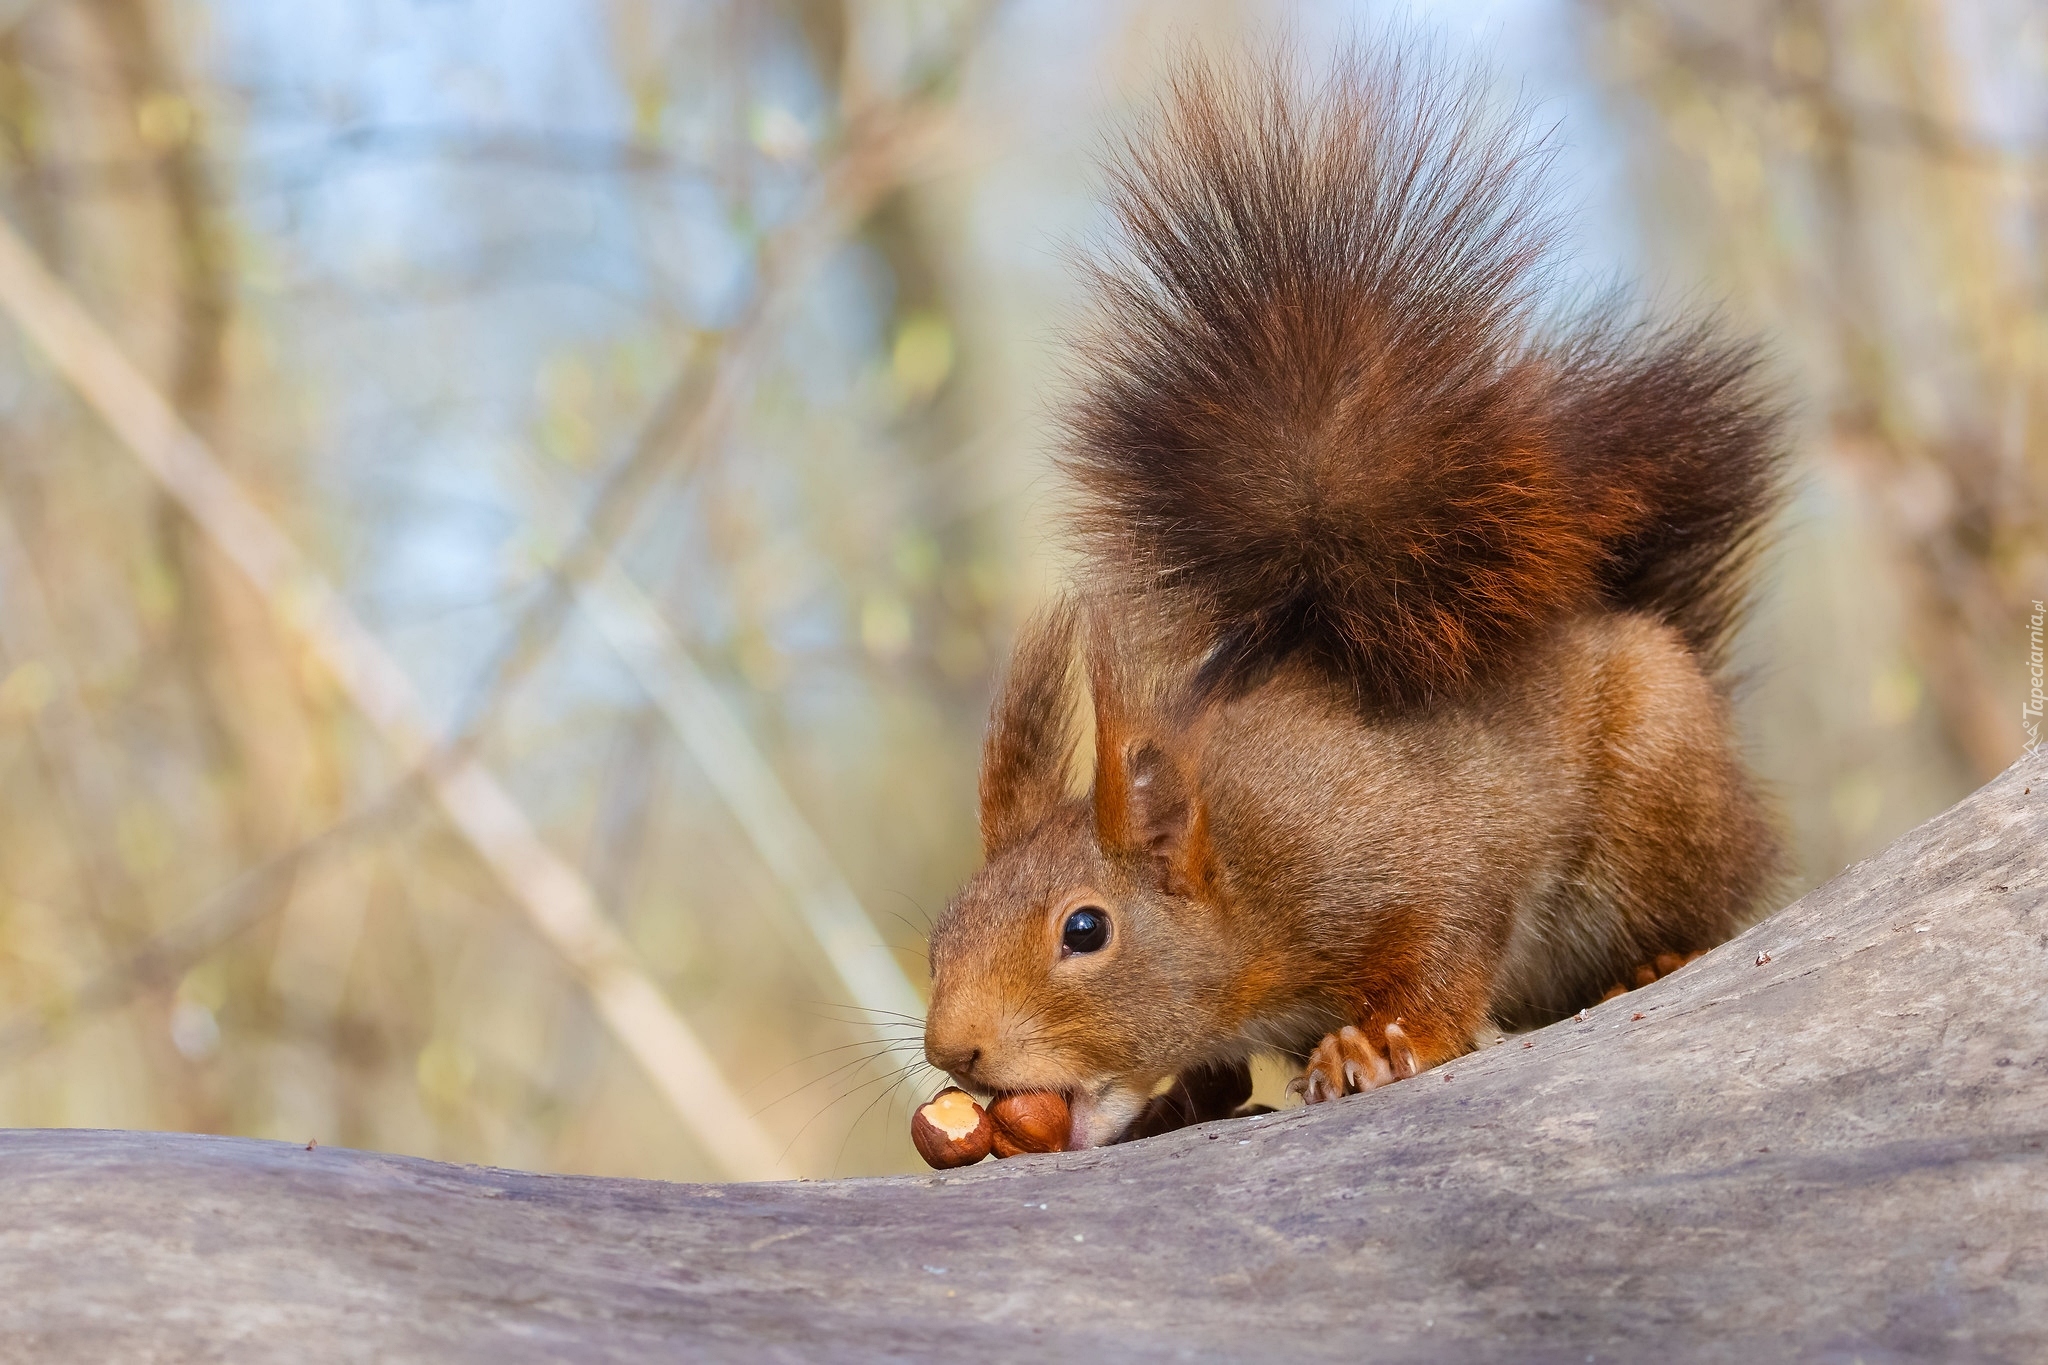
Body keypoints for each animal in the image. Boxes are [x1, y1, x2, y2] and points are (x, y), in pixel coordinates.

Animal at [921, 48, 1785, 1146]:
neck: (1241, 873)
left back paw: (1656, 959)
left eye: (1084, 929)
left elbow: (1447, 947)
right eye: (943, 928)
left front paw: (1380, 1044)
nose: (952, 1051)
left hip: (1658, 797)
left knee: (1707, 908)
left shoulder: (1412, 854)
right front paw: (1182, 1096)